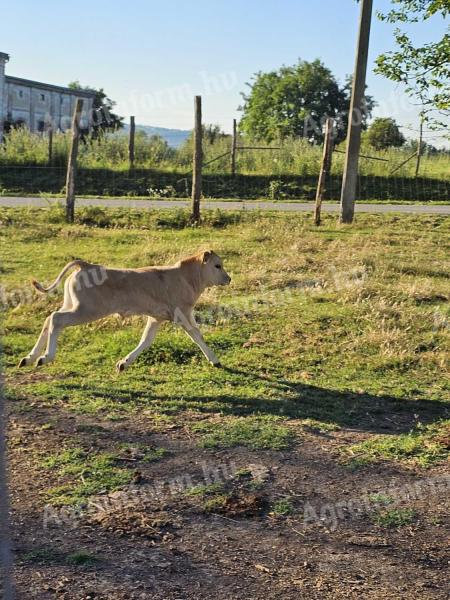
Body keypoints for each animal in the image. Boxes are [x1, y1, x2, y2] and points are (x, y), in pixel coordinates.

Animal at [18, 248, 230, 370]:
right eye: (217, 265)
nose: (229, 278)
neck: (186, 277)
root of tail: (85, 265)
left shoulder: (156, 318)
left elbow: (146, 340)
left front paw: (124, 363)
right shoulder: (183, 314)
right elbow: (197, 335)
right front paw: (215, 360)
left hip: (71, 305)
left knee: (49, 319)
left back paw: (29, 358)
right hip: (86, 310)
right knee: (56, 320)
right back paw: (45, 357)